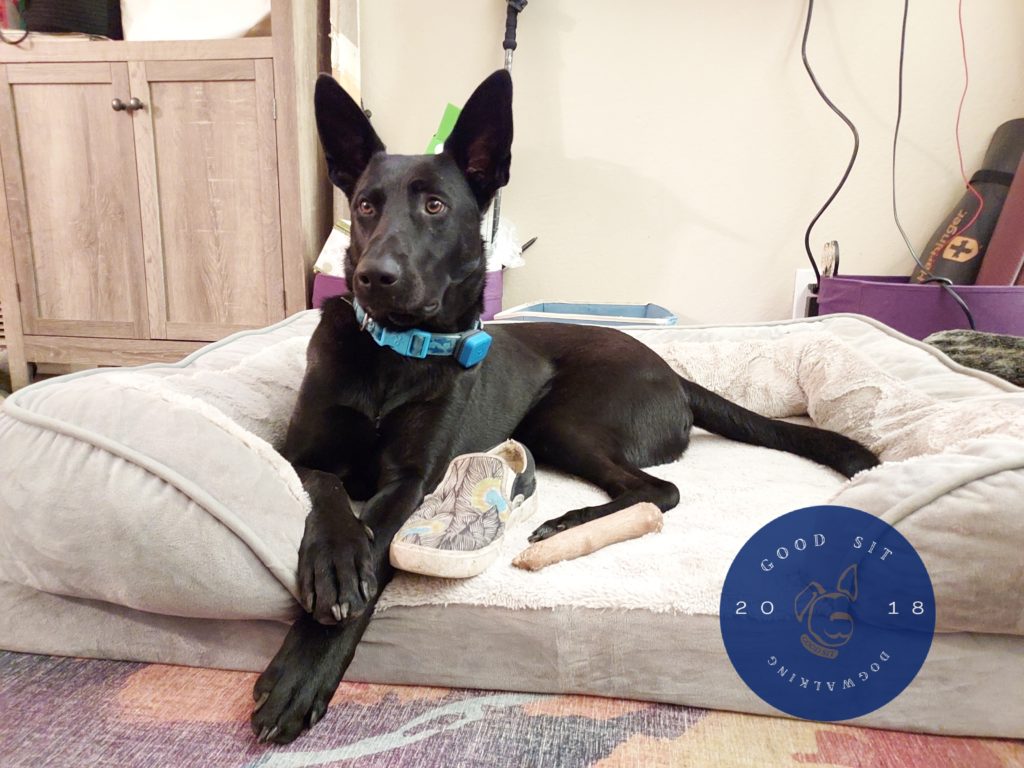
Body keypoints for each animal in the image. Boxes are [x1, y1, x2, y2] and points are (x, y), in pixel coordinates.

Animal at [249, 69, 880, 741]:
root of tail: (674, 373)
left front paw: (305, 670)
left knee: (659, 490)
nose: (374, 276)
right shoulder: (295, 453)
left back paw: (566, 523)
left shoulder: (413, 481)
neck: (395, 354)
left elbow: (376, 544)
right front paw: (335, 568)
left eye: (435, 206)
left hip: (561, 422)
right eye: (366, 205)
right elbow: (330, 492)